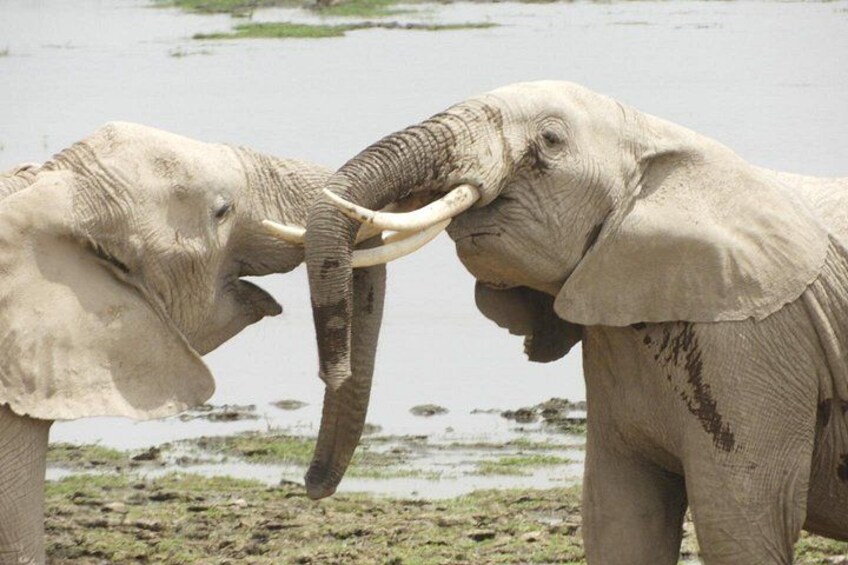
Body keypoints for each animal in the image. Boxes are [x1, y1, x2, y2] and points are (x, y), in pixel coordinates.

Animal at [295, 81, 848, 564]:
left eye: (551, 140)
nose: (312, 484)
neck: (655, 138)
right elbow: (620, 520)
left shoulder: (752, 343)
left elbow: (740, 527)